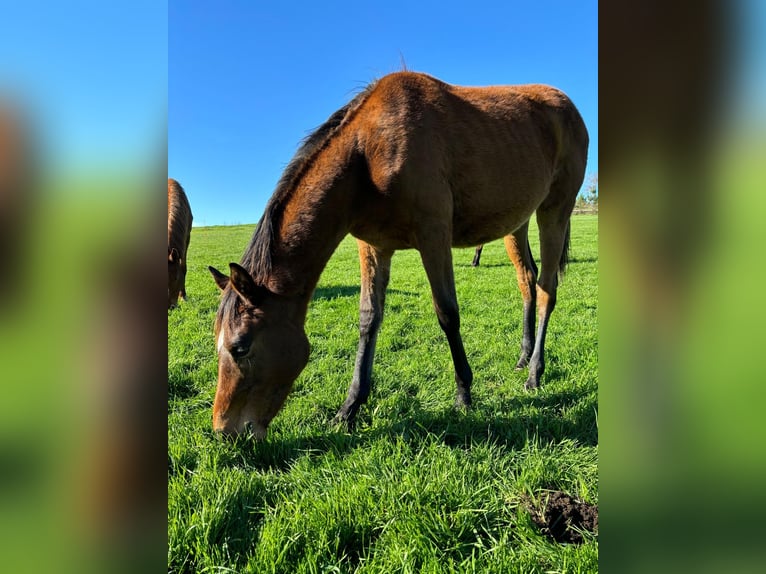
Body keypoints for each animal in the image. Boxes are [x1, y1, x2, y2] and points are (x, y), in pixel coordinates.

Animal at [207, 73, 592, 440]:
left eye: (240, 347)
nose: (224, 430)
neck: (369, 154)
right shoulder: (374, 247)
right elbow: (369, 318)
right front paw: (349, 408)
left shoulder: (434, 235)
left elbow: (447, 313)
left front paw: (464, 394)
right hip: (517, 222)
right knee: (527, 280)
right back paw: (524, 355)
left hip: (555, 211)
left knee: (546, 290)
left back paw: (534, 372)